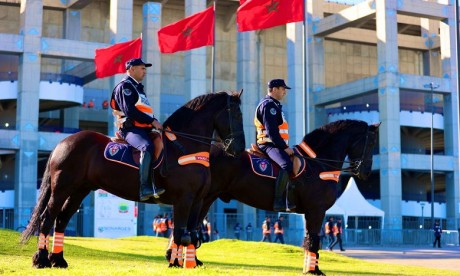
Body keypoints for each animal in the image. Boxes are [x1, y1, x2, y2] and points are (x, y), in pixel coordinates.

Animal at [19, 91, 246, 268]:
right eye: (236, 114)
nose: (239, 149)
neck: (183, 146)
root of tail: (63, 142)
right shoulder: (183, 199)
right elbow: (182, 234)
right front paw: (177, 263)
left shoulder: (197, 201)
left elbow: (192, 234)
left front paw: (186, 264)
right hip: (61, 188)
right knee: (47, 218)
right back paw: (41, 260)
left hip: (78, 190)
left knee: (62, 219)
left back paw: (58, 260)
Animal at [199, 119, 380, 274]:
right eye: (371, 143)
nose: (366, 172)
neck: (318, 165)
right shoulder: (317, 210)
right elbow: (314, 240)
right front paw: (314, 271)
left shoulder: (310, 213)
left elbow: (308, 239)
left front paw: (309, 269)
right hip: (205, 197)